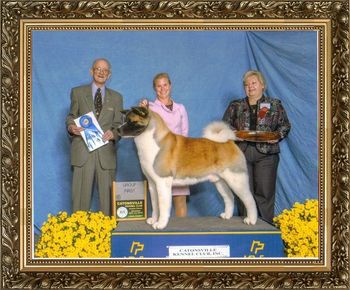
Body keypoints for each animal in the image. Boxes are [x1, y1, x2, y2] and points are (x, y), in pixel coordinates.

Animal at [117, 106, 258, 229]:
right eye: (124, 120)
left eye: (131, 121)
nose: (117, 129)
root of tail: (229, 141)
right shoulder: (152, 184)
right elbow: (155, 205)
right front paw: (153, 220)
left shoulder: (162, 183)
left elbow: (162, 206)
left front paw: (160, 224)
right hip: (220, 181)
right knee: (229, 197)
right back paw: (227, 216)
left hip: (237, 180)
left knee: (249, 200)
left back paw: (251, 220)